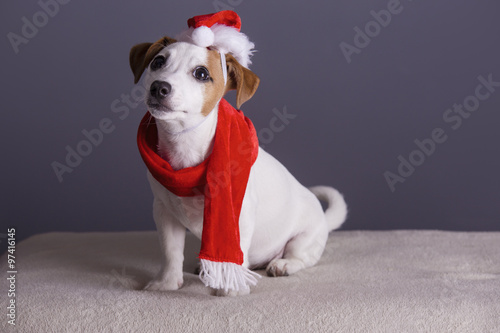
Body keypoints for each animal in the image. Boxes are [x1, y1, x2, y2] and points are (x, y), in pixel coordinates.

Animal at [130, 16, 348, 296]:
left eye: (201, 74)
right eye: (158, 62)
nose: (159, 87)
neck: (185, 144)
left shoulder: (237, 215)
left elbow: (235, 252)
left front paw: (230, 289)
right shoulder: (164, 212)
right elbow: (171, 251)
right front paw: (166, 283)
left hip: (304, 237)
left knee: (301, 256)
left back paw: (284, 264)